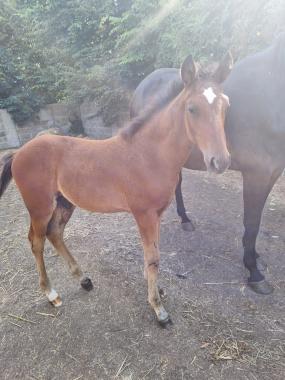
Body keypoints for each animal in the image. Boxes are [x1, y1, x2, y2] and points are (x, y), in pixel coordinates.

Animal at [0, 54, 231, 326]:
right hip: (39, 207)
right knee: (36, 242)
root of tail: (18, 152)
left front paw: (157, 290)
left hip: (65, 202)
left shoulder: (157, 214)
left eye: (225, 105)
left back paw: (83, 279)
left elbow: (154, 254)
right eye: (192, 108)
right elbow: (152, 258)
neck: (149, 154)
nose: (220, 162)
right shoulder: (144, 214)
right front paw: (158, 309)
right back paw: (52, 294)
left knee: (54, 233)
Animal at [131, 33, 285, 294]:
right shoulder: (257, 174)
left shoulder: (273, 172)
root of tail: (145, 82)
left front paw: (255, 257)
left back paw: (185, 220)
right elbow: (252, 222)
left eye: (228, 106)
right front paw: (254, 272)